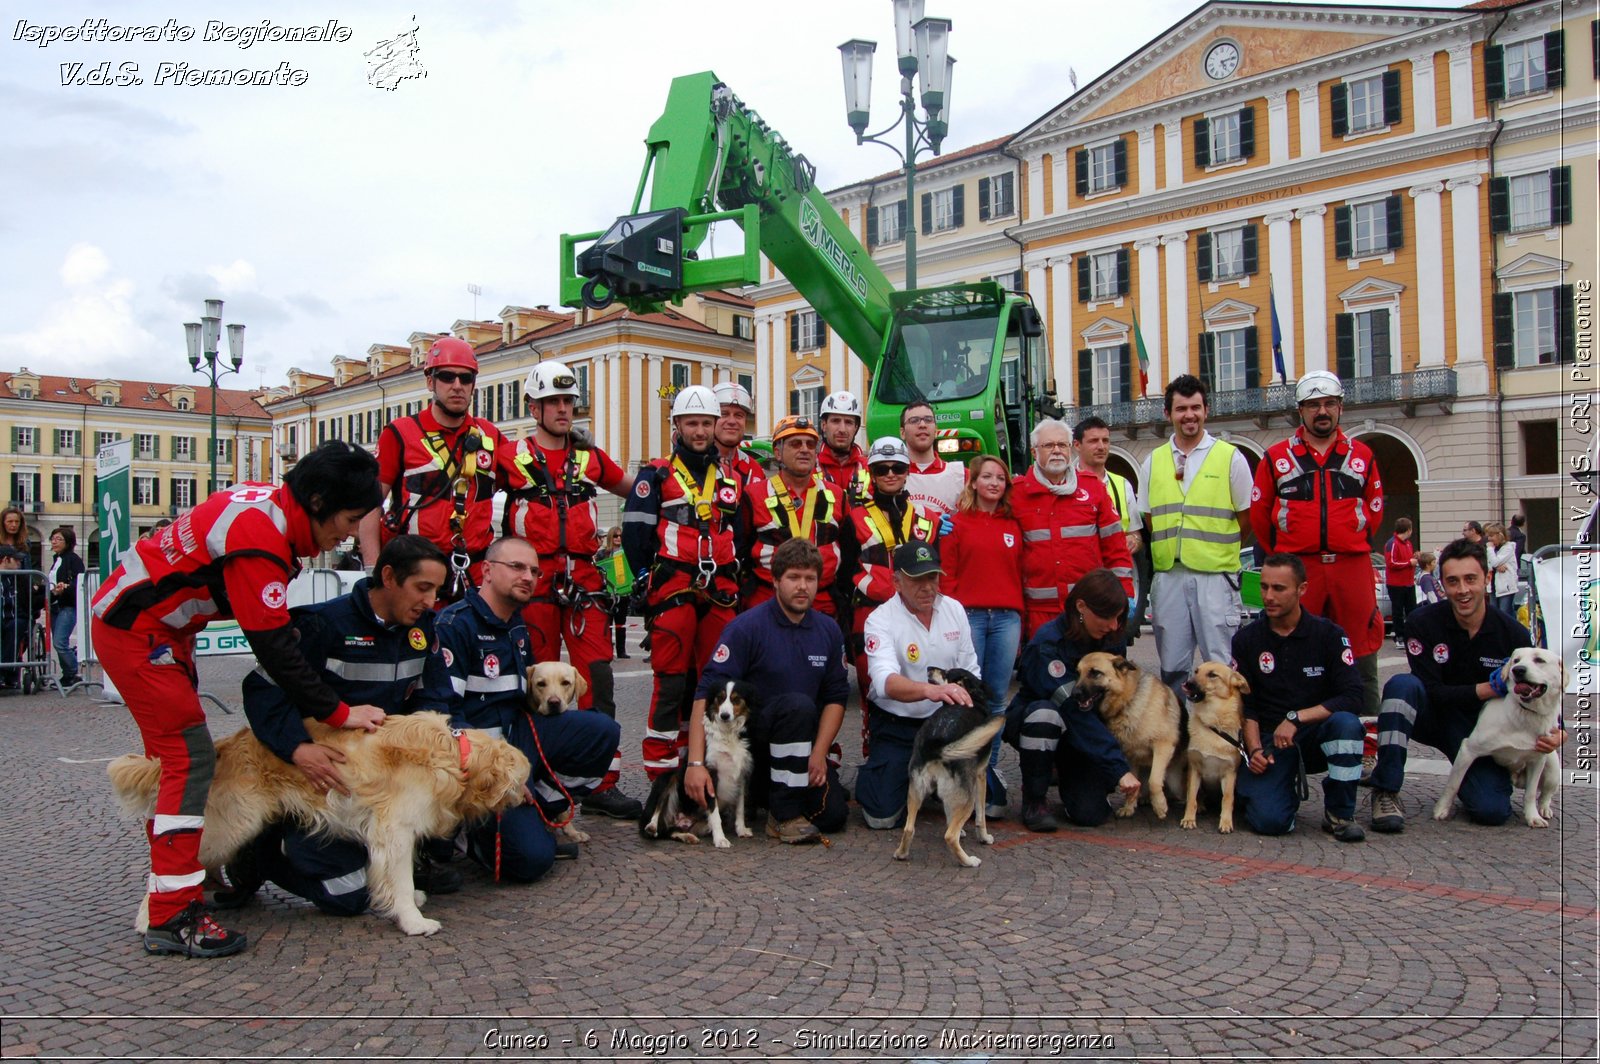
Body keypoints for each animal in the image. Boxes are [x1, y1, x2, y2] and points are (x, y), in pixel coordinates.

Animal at [636, 681, 755, 844]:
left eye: (736, 699)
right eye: (720, 698)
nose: (724, 716)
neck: (727, 732)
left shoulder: (742, 774)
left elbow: (740, 807)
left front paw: (741, 829)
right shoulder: (710, 776)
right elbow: (714, 813)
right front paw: (720, 839)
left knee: (669, 831)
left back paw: (687, 836)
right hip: (668, 777)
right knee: (657, 813)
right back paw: (652, 826)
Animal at [896, 668, 1004, 870]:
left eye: (946, 672)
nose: (929, 668)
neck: (973, 698)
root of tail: (935, 744)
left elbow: (948, 812)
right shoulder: (980, 775)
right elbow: (981, 818)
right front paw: (984, 838)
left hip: (915, 791)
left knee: (908, 828)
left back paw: (901, 854)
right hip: (967, 798)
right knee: (950, 837)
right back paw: (969, 861)